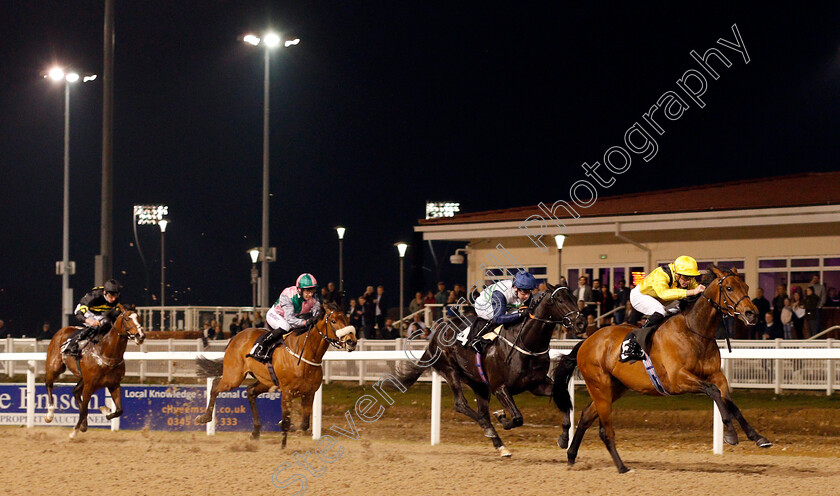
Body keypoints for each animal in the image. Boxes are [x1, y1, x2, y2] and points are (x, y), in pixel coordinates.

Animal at [43, 308, 146, 440]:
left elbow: (119, 410)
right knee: (49, 384)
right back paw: (49, 414)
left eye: (139, 318)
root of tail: (62, 330)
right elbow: (84, 410)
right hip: (55, 366)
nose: (141, 335)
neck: (106, 354)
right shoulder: (90, 385)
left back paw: (83, 424)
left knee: (76, 391)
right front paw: (73, 433)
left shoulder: (114, 384)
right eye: (127, 319)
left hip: (83, 378)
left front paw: (106, 411)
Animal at [195, 302, 356, 450]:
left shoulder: (309, 393)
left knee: (250, 391)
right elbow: (286, 421)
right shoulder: (287, 392)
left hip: (266, 380)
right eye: (333, 321)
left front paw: (287, 429)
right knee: (215, 385)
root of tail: (236, 336)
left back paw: (255, 432)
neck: (305, 355)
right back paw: (204, 417)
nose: (351, 341)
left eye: (347, 319)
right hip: (233, 377)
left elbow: (303, 424)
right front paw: (283, 446)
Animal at [394, 282, 584, 458]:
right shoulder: (499, 387)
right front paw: (502, 418)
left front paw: (564, 438)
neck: (526, 343)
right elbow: (517, 418)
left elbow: (563, 398)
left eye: (574, 299)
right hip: (450, 370)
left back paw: (501, 446)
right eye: (560, 300)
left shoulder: (537, 384)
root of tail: (437, 332)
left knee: (481, 411)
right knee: (462, 405)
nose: (581, 322)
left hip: (478, 383)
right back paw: (489, 429)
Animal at [552, 268, 776, 472]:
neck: (694, 331)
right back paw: (622, 467)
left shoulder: (716, 375)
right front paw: (730, 433)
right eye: (729, 288)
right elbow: (713, 391)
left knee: (586, 417)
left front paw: (758, 437)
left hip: (614, 388)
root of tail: (587, 341)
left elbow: (729, 401)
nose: (752, 314)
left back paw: (571, 456)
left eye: (746, 287)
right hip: (600, 387)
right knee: (606, 430)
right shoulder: (677, 379)